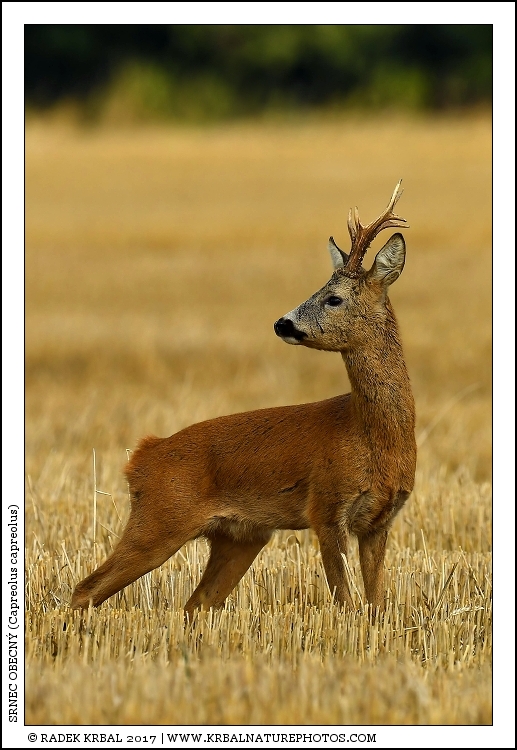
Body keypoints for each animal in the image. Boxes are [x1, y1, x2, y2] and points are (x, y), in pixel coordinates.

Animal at [71, 181, 416, 617]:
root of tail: (142, 457)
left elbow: (376, 605)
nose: (282, 323)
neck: (375, 438)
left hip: (240, 536)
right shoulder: (325, 507)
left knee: (195, 604)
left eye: (333, 298)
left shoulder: (380, 520)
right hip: (159, 520)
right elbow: (346, 602)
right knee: (85, 590)